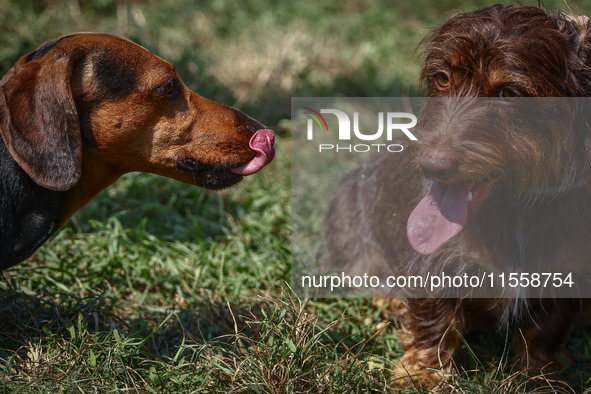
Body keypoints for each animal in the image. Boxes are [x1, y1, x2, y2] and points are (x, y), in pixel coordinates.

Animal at [326, 4, 591, 390]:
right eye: (442, 78)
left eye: (509, 93)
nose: (431, 166)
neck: (513, 209)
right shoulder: (434, 264)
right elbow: (435, 320)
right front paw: (423, 372)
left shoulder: (566, 273)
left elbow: (543, 334)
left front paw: (538, 379)